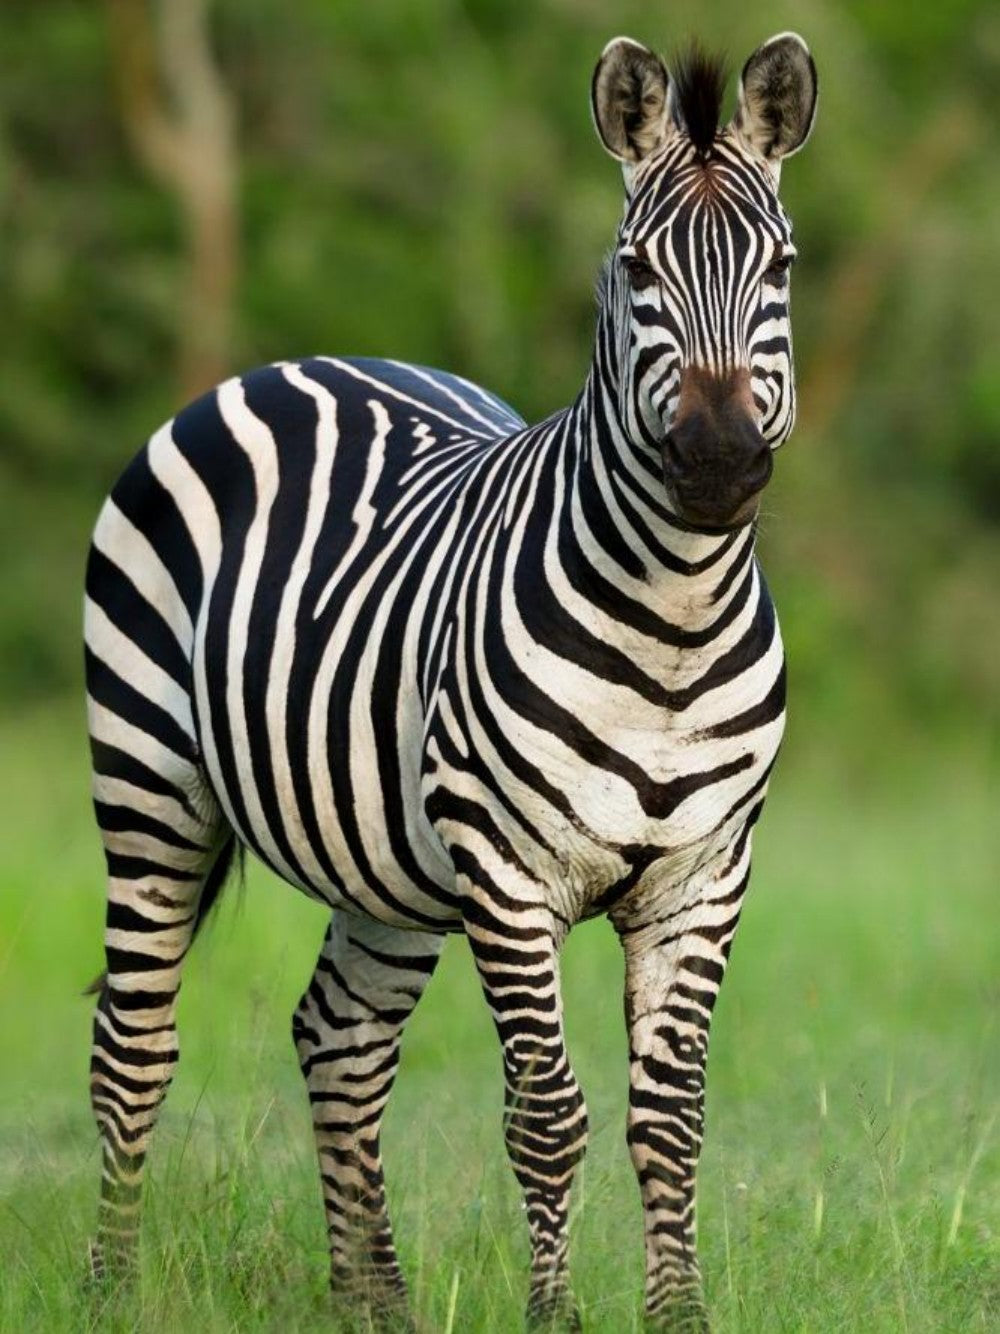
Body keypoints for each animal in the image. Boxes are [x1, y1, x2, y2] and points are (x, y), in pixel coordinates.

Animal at [84, 30, 817, 1330]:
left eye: (778, 266)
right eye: (635, 269)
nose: (720, 465)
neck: (672, 628)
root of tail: (299, 360)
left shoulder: (703, 874)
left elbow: (669, 1119)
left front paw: (677, 1311)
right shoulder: (510, 875)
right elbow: (547, 1116)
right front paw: (556, 1314)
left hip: (386, 862)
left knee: (338, 1039)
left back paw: (371, 1300)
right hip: (148, 780)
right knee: (133, 1043)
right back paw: (113, 1285)